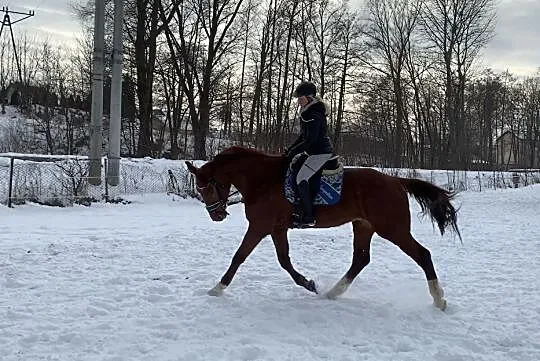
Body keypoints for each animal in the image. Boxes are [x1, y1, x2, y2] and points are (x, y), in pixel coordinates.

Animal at [185, 146, 460, 310]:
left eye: (207, 188)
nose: (216, 215)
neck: (262, 181)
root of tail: (395, 181)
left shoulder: (259, 227)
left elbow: (239, 256)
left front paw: (216, 289)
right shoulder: (276, 229)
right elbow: (284, 260)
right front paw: (309, 284)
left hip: (393, 229)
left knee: (422, 254)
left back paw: (439, 299)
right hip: (363, 226)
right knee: (360, 259)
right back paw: (332, 293)